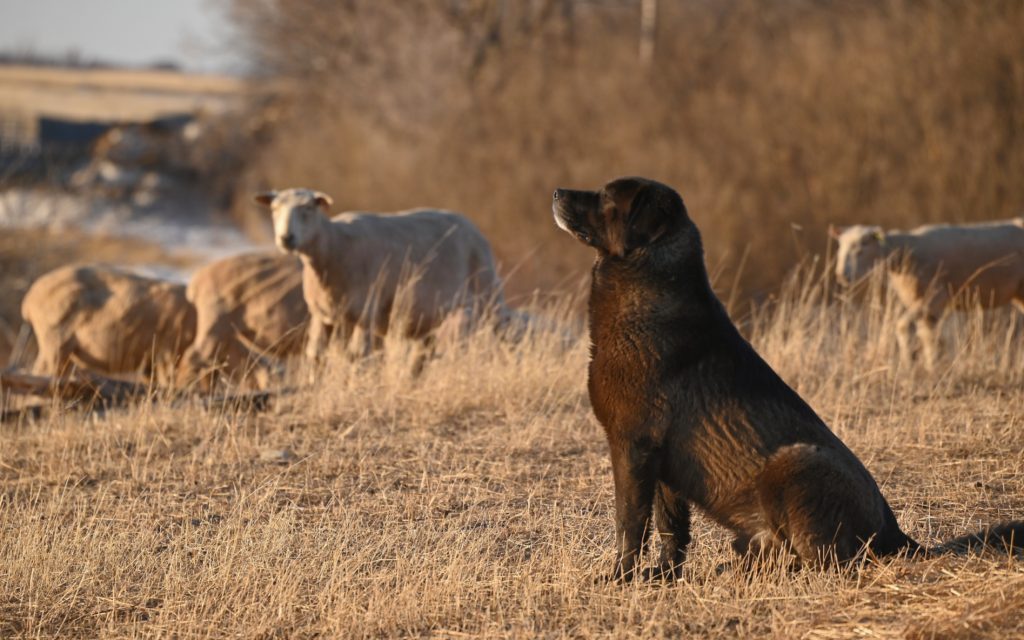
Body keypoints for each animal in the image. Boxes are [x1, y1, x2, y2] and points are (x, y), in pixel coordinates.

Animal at [254, 188, 507, 360]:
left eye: (307, 209)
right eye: (274, 210)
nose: (286, 238)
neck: (334, 245)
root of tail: (471, 225)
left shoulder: (366, 311)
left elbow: (358, 356)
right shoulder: (321, 315)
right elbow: (315, 355)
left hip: (485, 293)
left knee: (498, 333)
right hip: (427, 316)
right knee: (423, 353)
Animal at [831, 219, 1024, 366]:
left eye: (862, 247)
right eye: (840, 247)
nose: (841, 275)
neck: (904, 253)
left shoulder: (935, 297)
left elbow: (903, 326)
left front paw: (908, 365)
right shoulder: (924, 304)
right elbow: (928, 337)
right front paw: (932, 366)